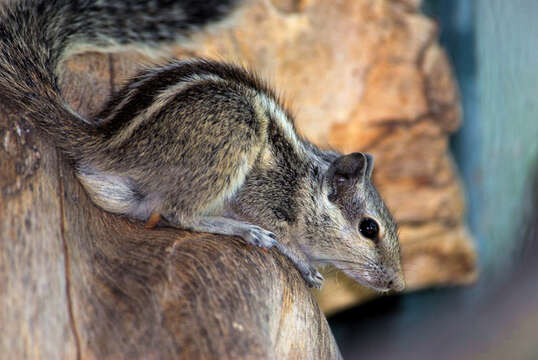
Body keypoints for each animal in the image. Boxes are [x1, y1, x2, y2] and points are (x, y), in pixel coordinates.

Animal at [0, 0, 402, 292]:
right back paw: (241, 230)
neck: (304, 188)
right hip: (233, 138)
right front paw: (304, 264)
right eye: (369, 228)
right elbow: (284, 238)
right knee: (180, 214)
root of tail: (108, 141)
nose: (396, 283)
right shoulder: (262, 198)